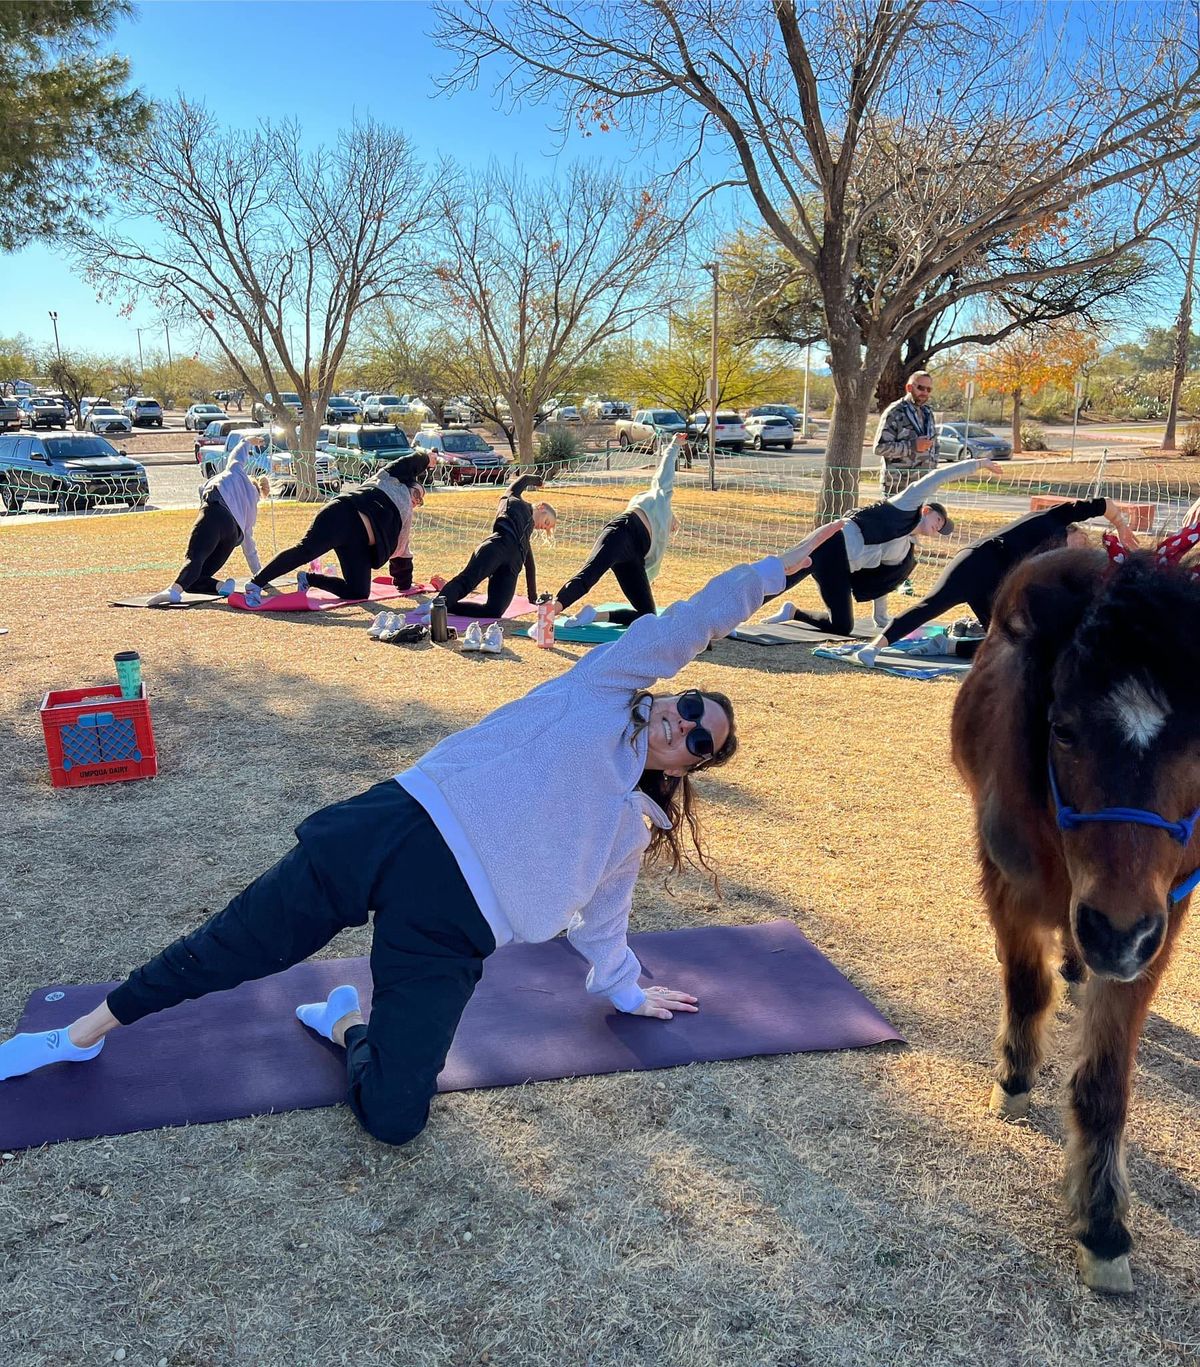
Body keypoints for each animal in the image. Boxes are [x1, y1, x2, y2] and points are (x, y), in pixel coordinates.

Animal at [956, 546, 1200, 1290]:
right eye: (1061, 729)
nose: (1113, 934)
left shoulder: (1159, 919)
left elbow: (1106, 1080)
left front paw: (1101, 1223)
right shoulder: (1006, 882)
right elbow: (1025, 988)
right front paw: (1013, 1078)